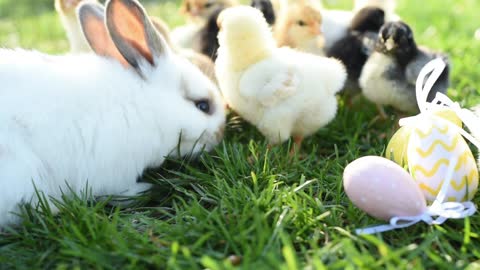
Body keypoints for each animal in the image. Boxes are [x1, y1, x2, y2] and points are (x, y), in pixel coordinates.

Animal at [0, 0, 226, 228]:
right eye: (203, 106)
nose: (220, 135)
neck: (146, 104)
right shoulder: (116, 174)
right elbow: (121, 191)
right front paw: (145, 189)